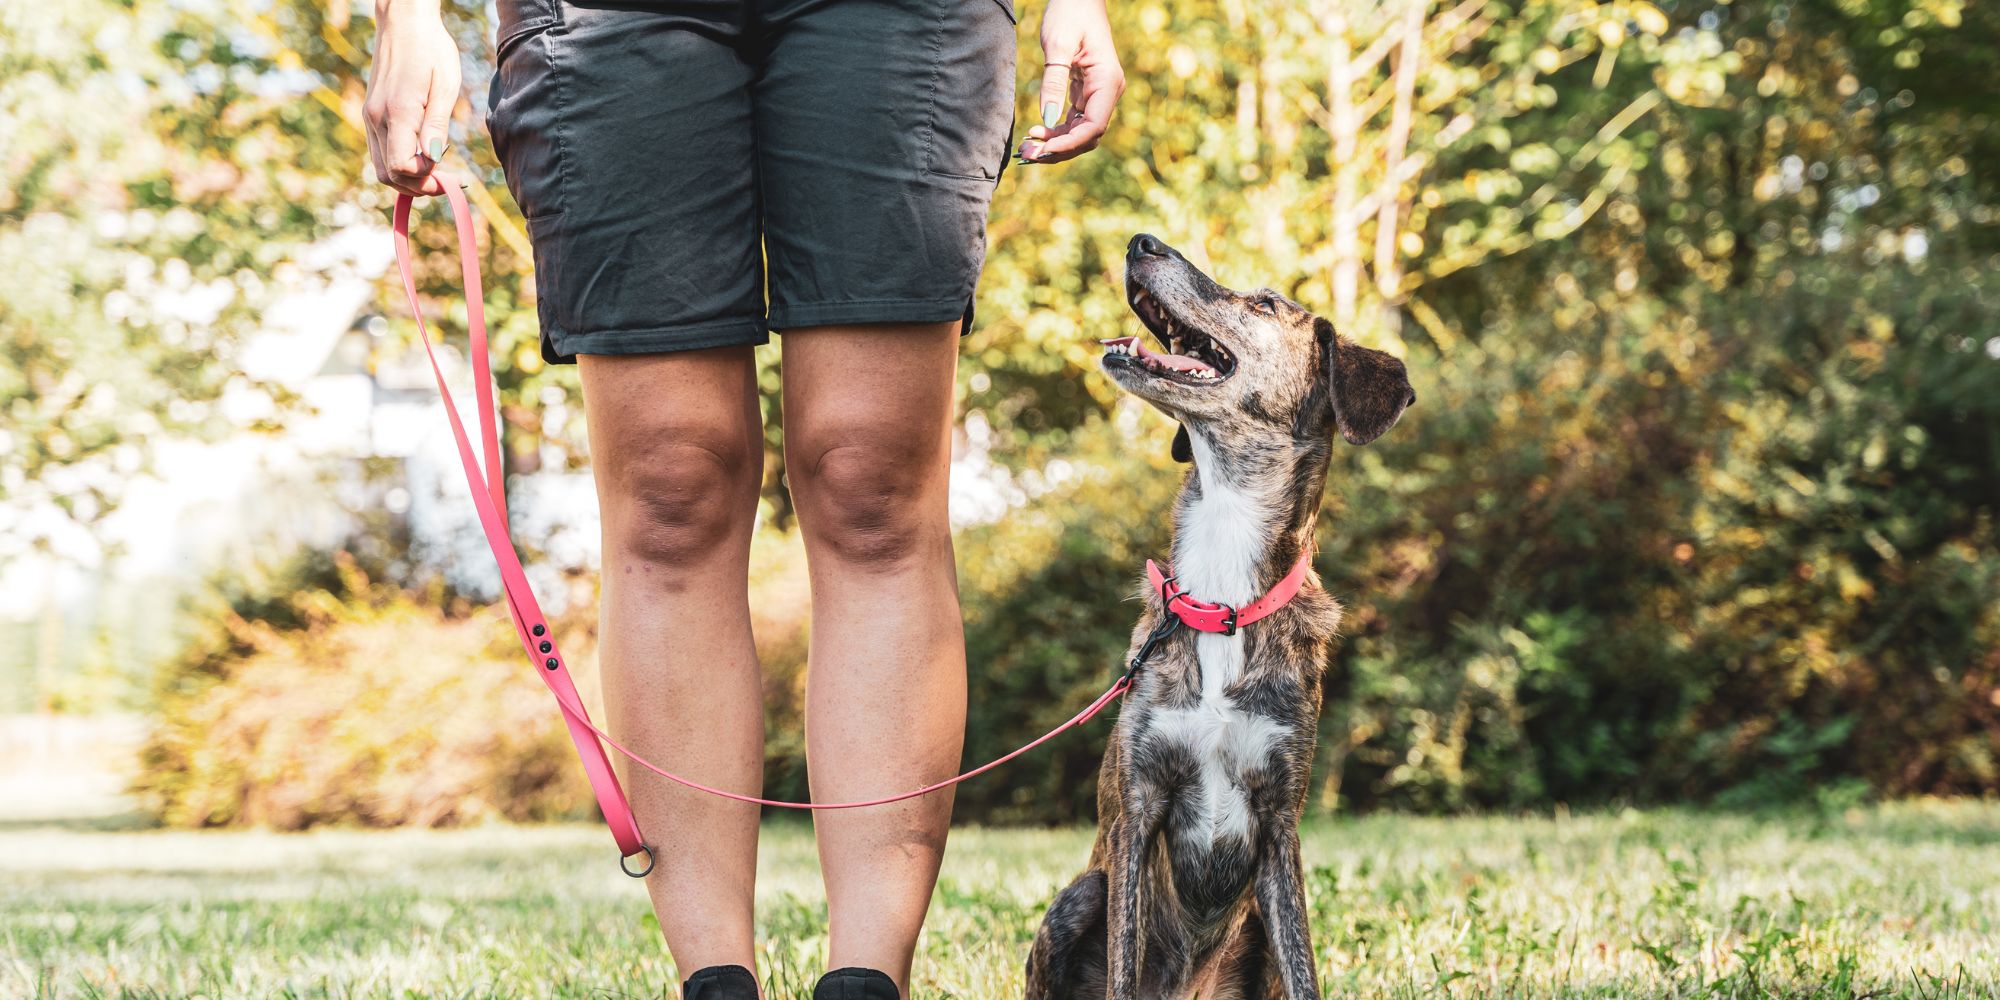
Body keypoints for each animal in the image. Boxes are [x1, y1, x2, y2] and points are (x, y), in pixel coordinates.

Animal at [1024, 236, 1416, 1000]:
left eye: (1263, 304)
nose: (1142, 242)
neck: (1221, 599)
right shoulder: (1138, 809)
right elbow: (1122, 967)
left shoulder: (1280, 824)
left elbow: (1305, 971)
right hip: (1077, 896)